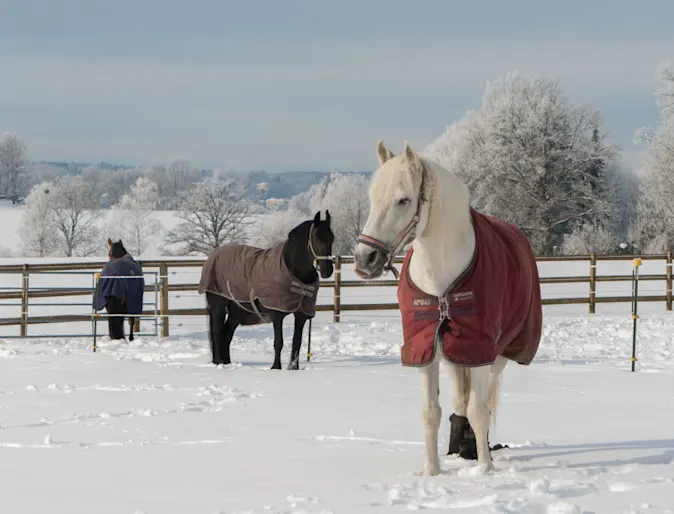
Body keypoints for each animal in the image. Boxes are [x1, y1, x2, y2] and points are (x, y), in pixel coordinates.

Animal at [198, 211, 334, 370]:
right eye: (316, 237)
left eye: (332, 238)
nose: (327, 270)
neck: (293, 271)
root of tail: (213, 256)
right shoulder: (277, 314)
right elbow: (278, 342)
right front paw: (275, 368)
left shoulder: (301, 315)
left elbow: (297, 343)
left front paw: (293, 368)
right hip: (218, 306)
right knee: (218, 333)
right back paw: (220, 364)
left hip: (237, 311)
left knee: (226, 336)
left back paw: (227, 364)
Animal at [354, 140, 542, 475]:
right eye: (373, 199)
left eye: (403, 200)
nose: (365, 259)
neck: (439, 278)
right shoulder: (426, 350)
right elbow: (431, 412)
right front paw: (432, 472)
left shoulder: (479, 350)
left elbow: (479, 411)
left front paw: (485, 470)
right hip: (454, 355)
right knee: (459, 401)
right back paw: (461, 447)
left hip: (498, 355)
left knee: (484, 402)